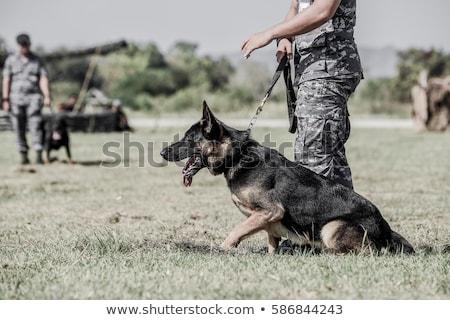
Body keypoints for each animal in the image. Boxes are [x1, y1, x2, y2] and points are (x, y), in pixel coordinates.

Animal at [159, 101, 414, 254]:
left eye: (188, 138)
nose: (162, 153)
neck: (238, 156)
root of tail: (386, 229)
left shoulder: (269, 211)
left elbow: (236, 231)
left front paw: (223, 248)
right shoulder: (267, 220)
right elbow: (271, 239)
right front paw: (273, 255)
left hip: (331, 228)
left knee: (365, 252)